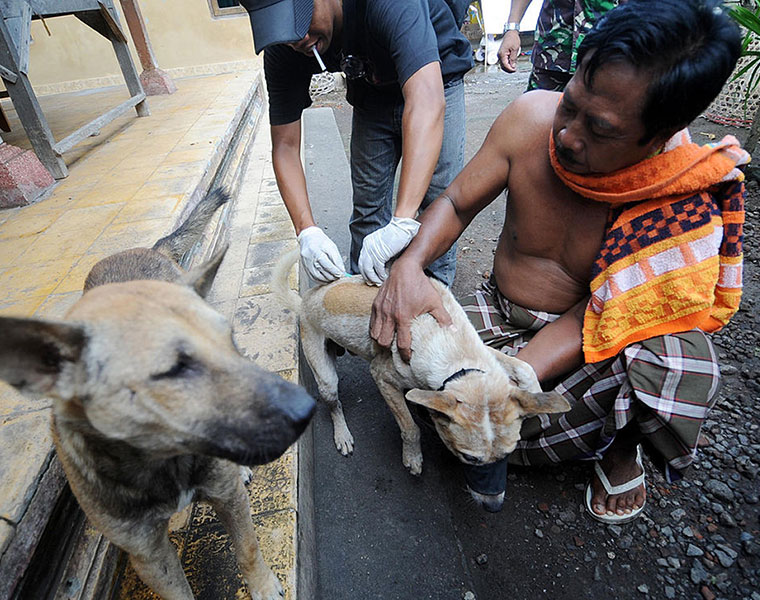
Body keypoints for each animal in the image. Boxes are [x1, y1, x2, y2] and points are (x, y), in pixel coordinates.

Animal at [0, 191, 314, 600]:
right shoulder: (148, 554)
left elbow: (247, 549)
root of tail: (145, 248)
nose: (307, 409)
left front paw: (263, 587)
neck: (162, 464)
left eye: (228, 341)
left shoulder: (228, 498)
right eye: (173, 369)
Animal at [274, 251, 568, 508]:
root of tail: (305, 300)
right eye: (468, 458)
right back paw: (343, 435)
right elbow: (410, 427)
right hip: (326, 378)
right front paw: (413, 457)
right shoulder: (383, 379)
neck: (452, 349)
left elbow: (523, 366)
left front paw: (536, 393)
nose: (494, 506)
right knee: (334, 404)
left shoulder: (484, 353)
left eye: (508, 454)